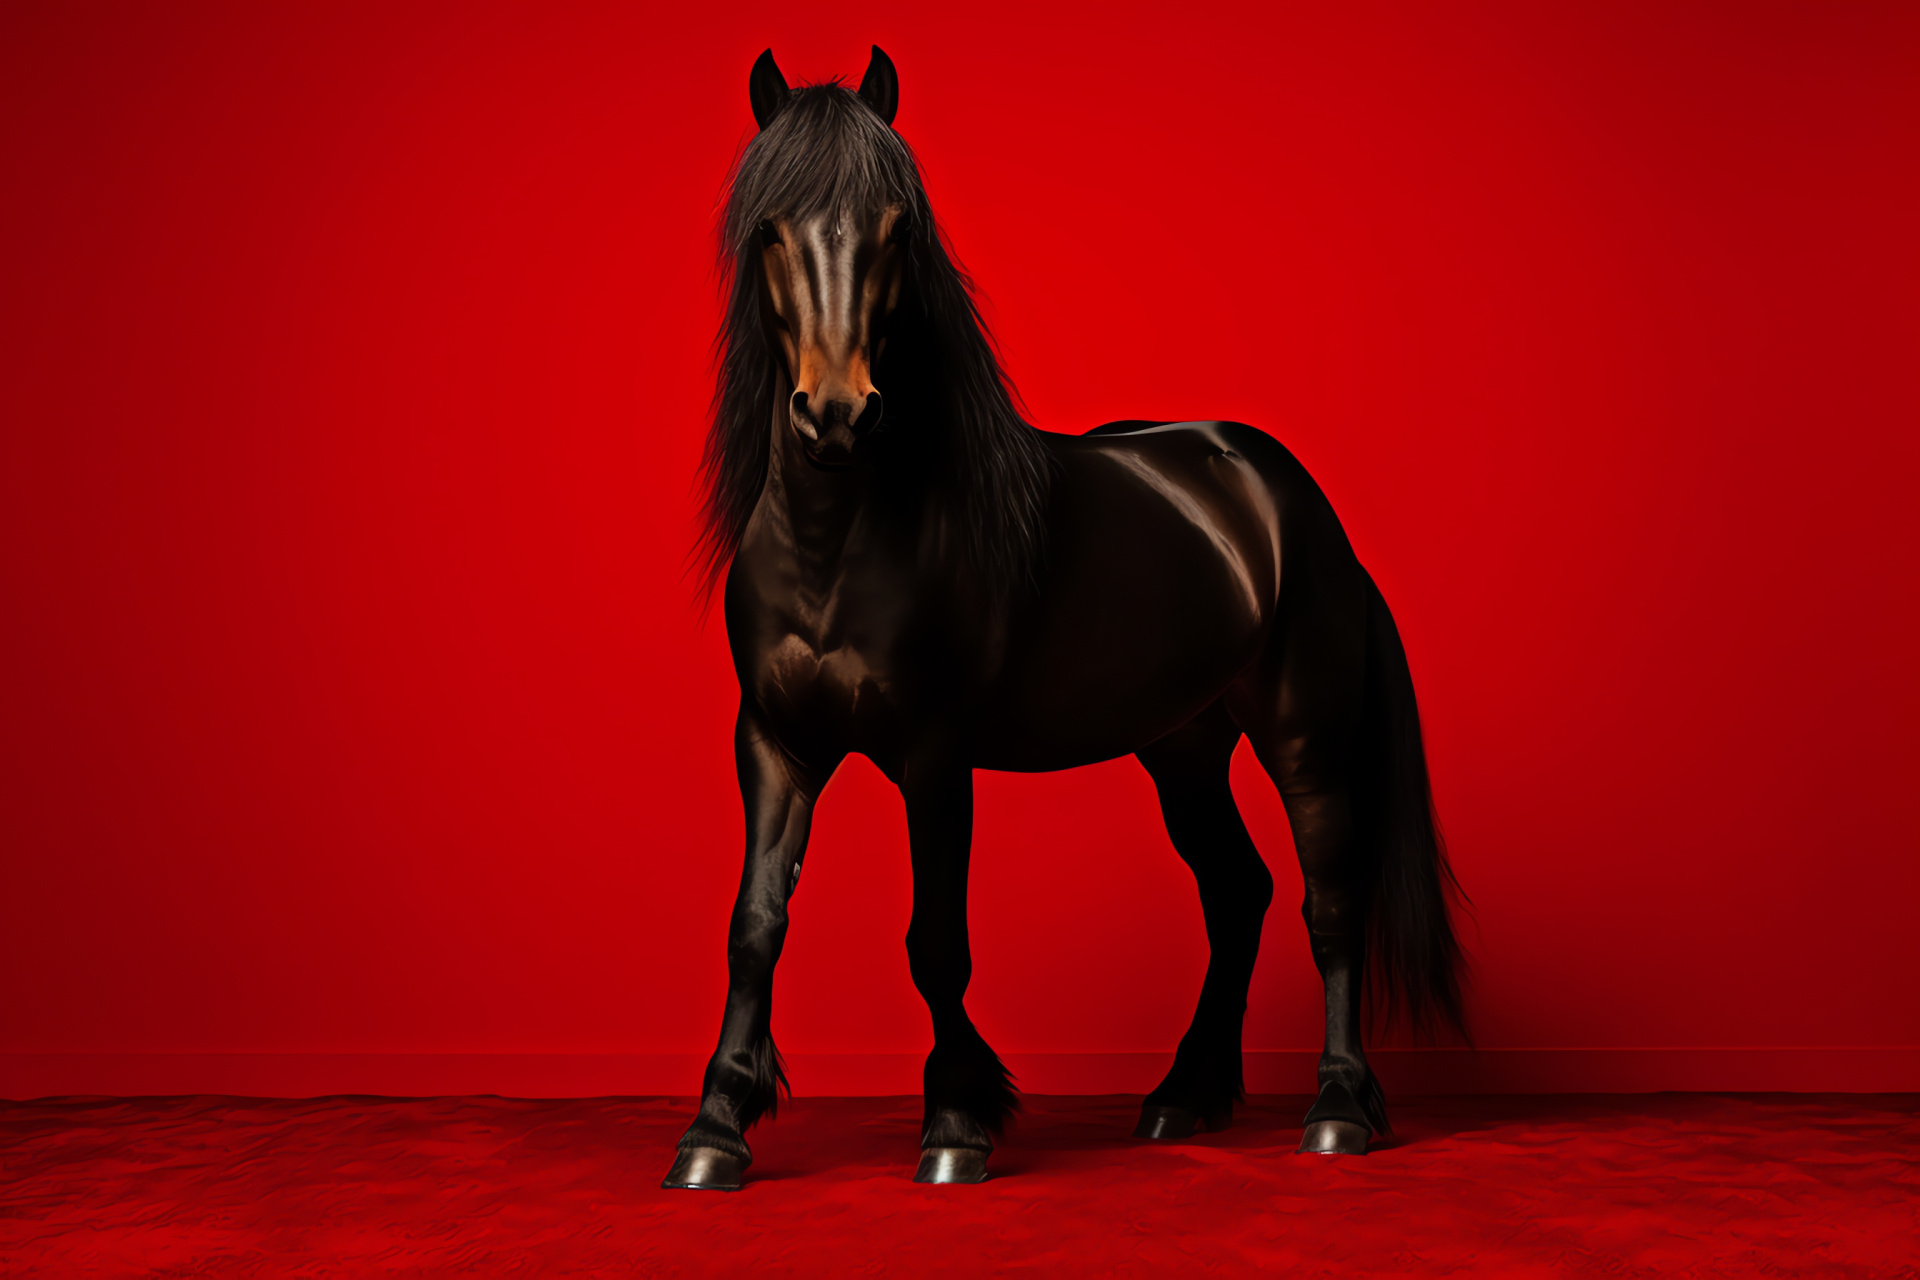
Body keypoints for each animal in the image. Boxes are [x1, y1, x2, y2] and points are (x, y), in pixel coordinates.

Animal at [668, 47, 1459, 1189]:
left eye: (897, 227)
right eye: (770, 226)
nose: (837, 415)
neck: (837, 544)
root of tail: (1292, 500)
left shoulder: (932, 755)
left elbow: (935, 940)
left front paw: (958, 1121)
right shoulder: (774, 743)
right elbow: (755, 925)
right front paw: (715, 1128)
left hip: (1301, 739)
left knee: (1329, 900)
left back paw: (1339, 1109)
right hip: (1183, 746)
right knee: (1239, 890)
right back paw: (1182, 1097)